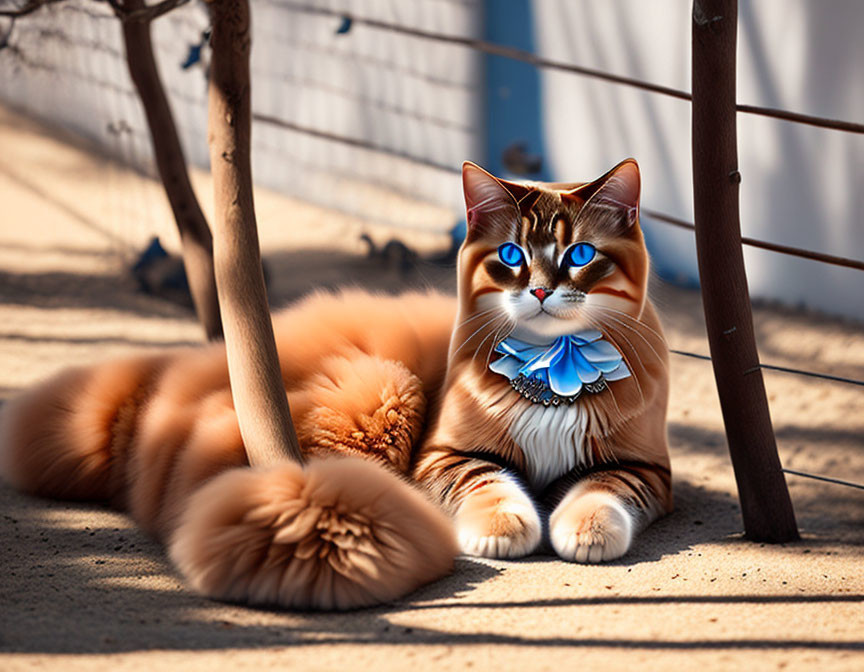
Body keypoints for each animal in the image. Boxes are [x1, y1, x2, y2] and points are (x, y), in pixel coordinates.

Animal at [0, 156, 668, 608]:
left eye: (579, 256)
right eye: (510, 256)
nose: (539, 290)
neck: (552, 364)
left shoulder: (645, 469)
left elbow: (600, 490)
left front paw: (585, 530)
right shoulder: (444, 454)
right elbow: (489, 485)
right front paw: (504, 528)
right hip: (377, 394)